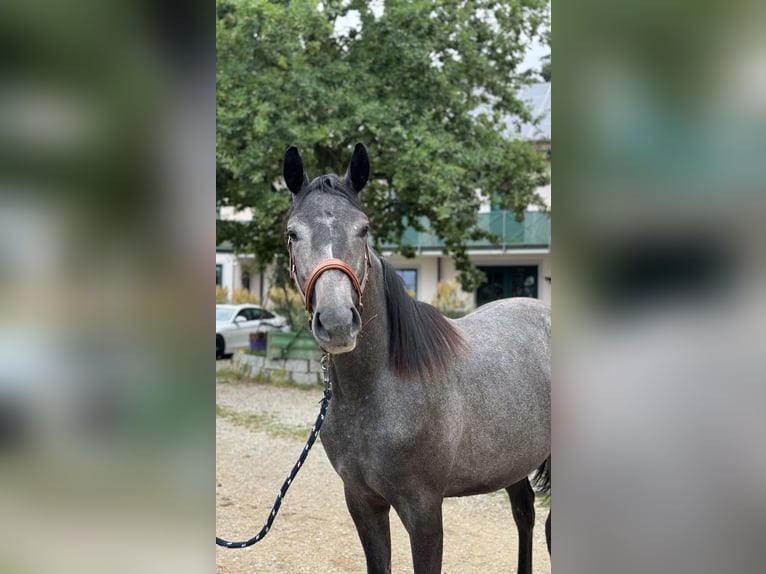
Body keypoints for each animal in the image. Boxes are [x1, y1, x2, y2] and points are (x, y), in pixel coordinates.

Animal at [284, 144, 548, 574]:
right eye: (293, 233)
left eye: (364, 229)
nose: (337, 322)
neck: (375, 392)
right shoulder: (362, 502)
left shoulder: (424, 511)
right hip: (512, 461)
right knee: (524, 512)